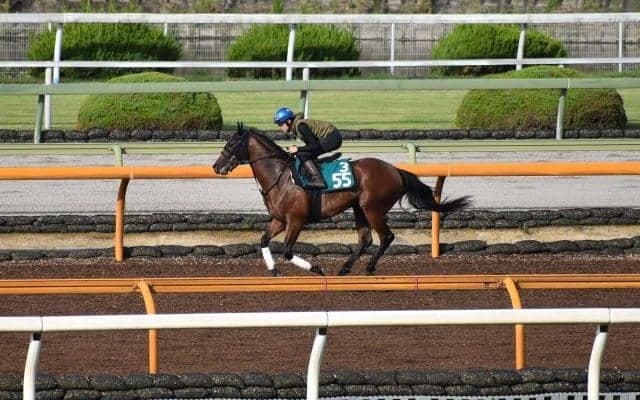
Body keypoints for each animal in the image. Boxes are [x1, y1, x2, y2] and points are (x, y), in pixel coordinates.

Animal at [213, 123, 471, 276]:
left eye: (231, 144)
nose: (216, 166)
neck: (281, 176)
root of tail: (396, 170)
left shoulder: (296, 220)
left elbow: (286, 250)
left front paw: (316, 268)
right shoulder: (279, 220)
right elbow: (264, 241)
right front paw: (274, 270)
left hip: (372, 208)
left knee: (386, 236)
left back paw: (369, 267)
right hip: (359, 208)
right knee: (366, 239)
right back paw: (345, 268)